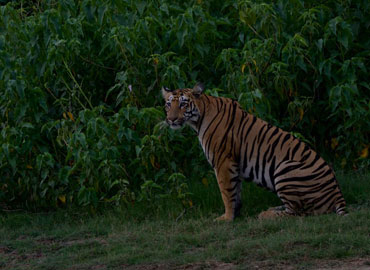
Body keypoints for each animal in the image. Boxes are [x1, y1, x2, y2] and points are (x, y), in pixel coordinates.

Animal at [162, 83, 346, 221]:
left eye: (183, 104)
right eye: (169, 104)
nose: (171, 119)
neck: (198, 120)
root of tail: (338, 193)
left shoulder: (223, 161)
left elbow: (226, 192)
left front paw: (226, 218)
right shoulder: (233, 164)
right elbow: (235, 192)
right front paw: (235, 214)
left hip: (285, 168)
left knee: (299, 212)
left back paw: (266, 214)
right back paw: (273, 208)